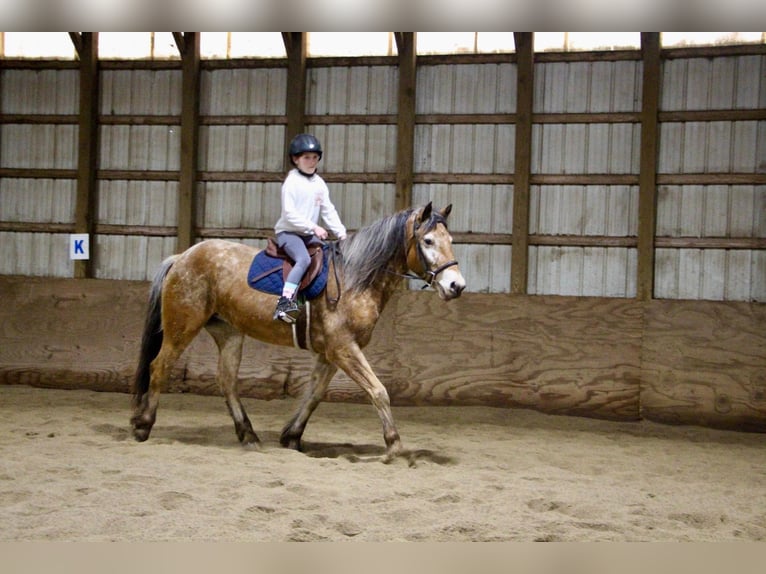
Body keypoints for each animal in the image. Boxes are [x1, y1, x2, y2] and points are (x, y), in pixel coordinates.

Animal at [130, 202, 468, 464]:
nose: (457, 286)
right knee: (159, 368)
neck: (353, 279)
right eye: (428, 241)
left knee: (226, 380)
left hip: (229, 333)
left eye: (449, 238)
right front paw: (393, 444)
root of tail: (182, 258)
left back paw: (249, 435)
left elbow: (314, 394)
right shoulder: (344, 348)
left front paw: (291, 436)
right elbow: (378, 391)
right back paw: (143, 425)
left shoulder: (331, 353)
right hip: (182, 327)